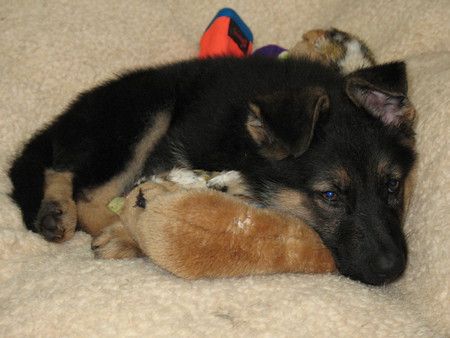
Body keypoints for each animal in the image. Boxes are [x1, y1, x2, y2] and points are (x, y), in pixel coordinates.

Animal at [7, 53, 414, 286]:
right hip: (146, 108)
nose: (392, 270)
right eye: (329, 195)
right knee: (79, 184)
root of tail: (66, 117)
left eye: (393, 185)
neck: (246, 144)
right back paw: (76, 216)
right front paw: (132, 230)